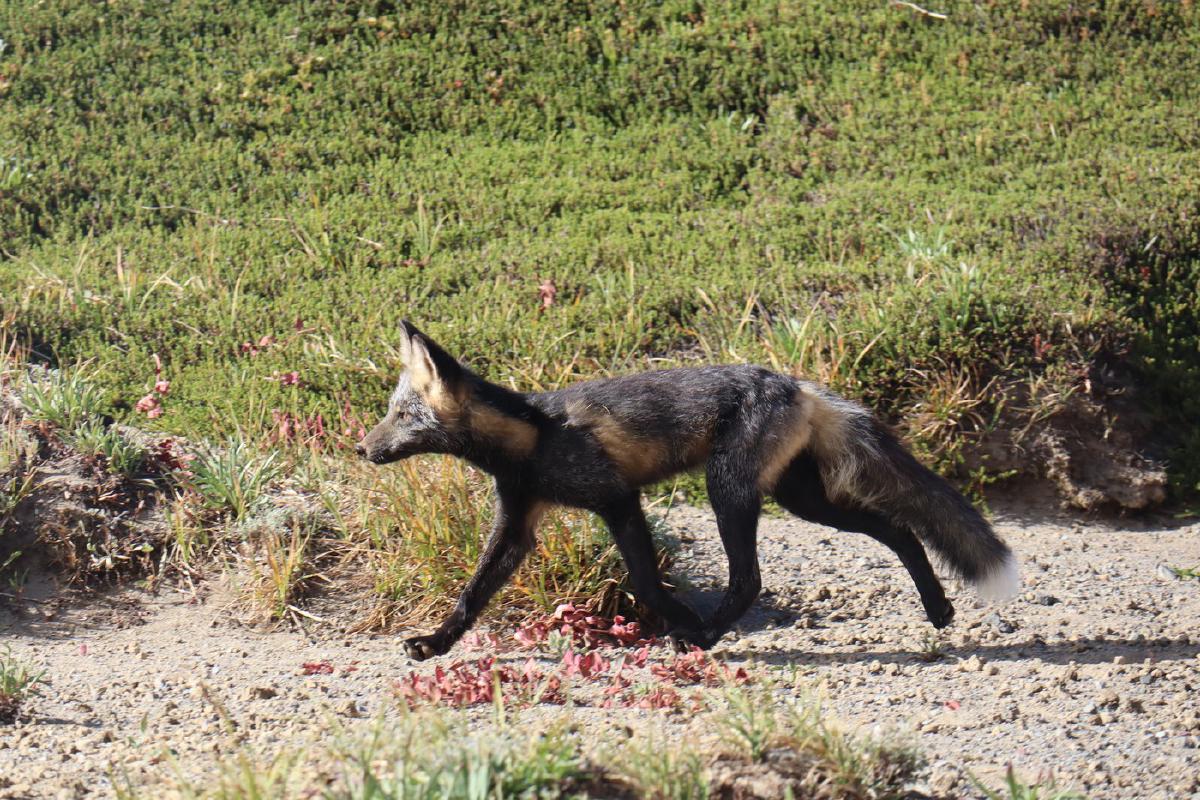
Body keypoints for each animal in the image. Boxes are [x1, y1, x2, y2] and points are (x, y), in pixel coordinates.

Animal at [350, 321, 1017, 662]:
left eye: (402, 416)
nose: (361, 448)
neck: (534, 440)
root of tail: (797, 383)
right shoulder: (517, 523)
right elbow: (472, 594)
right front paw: (435, 644)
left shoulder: (618, 500)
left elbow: (647, 582)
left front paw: (680, 621)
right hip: (803, 501)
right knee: (898, 528)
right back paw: (938, 608)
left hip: (729, 492)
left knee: (750, 579)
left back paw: (705, 635)